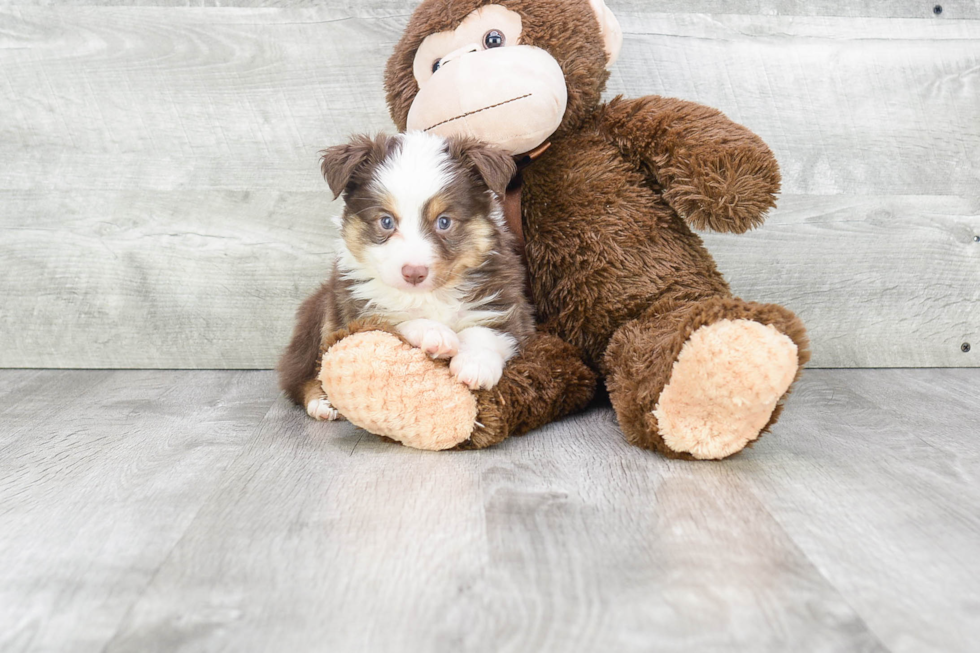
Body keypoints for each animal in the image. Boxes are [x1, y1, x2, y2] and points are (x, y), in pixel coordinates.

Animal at [276, 130, 536, 420]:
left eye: (444, 222)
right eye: (386, 221)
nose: (414, 272)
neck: (430, 295)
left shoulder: (506, 302)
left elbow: (488, 332)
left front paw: (474, 365)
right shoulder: (358, 310)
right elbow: (397, 320)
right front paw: (435, 334)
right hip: (319, 316)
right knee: (302, 374)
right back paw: (323, 402)